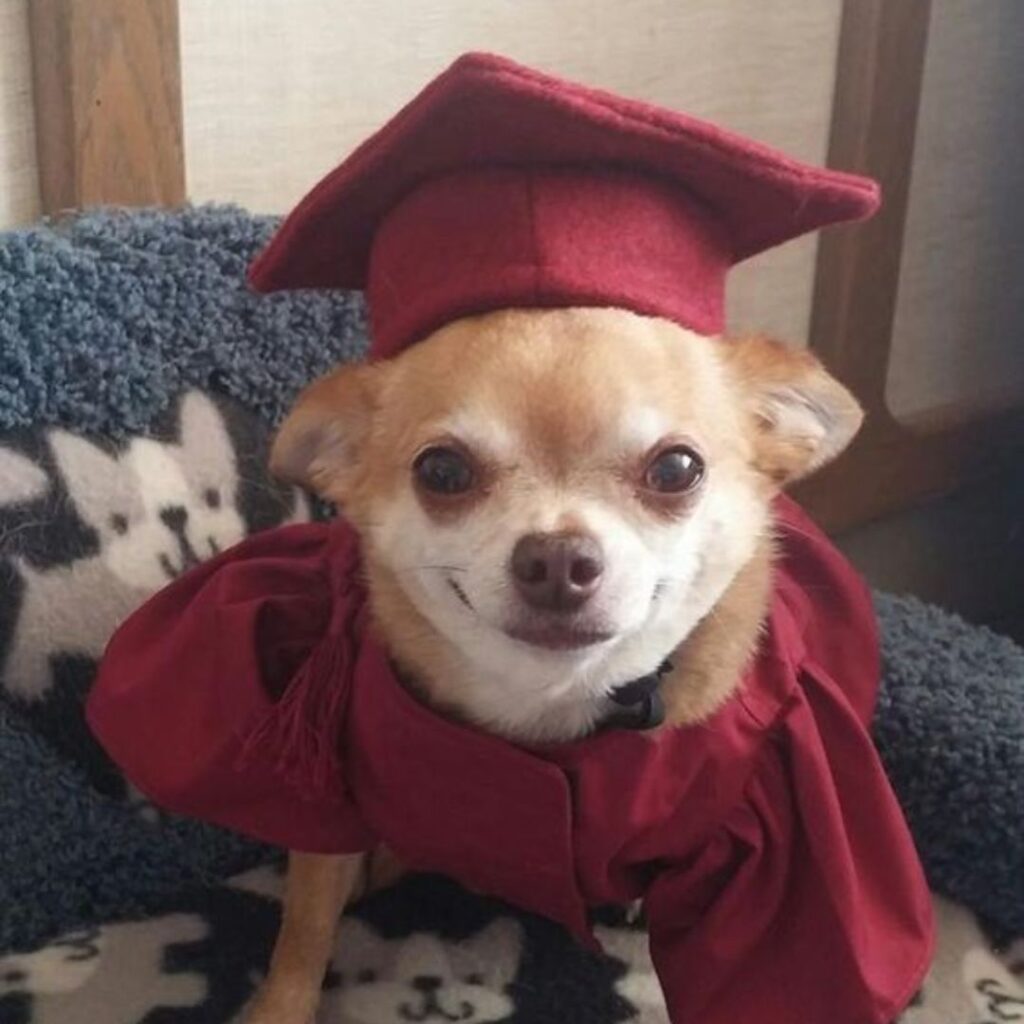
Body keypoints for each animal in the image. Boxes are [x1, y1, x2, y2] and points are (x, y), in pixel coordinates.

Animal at [243, 303, 860, 1024]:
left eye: (676, 469)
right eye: (442, 472)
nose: (557, 559)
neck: (548, 703)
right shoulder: (329, 803)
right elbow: (304, 932)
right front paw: (277, 1010)